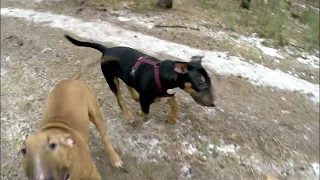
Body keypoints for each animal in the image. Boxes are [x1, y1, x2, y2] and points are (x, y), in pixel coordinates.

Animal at [64, 33, 216, 124]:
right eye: (200, 83)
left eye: (209, 81)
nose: (214, 103)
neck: (166, 75)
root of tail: (106, 50)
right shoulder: (146, 99)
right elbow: (145, 111)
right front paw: (140, 113)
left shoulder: (168, 93)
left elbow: (174, 104)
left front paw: (172, 118)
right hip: (111, 79)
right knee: (120, 98)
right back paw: (128, 116)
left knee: (128, 83)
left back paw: (134, 96)